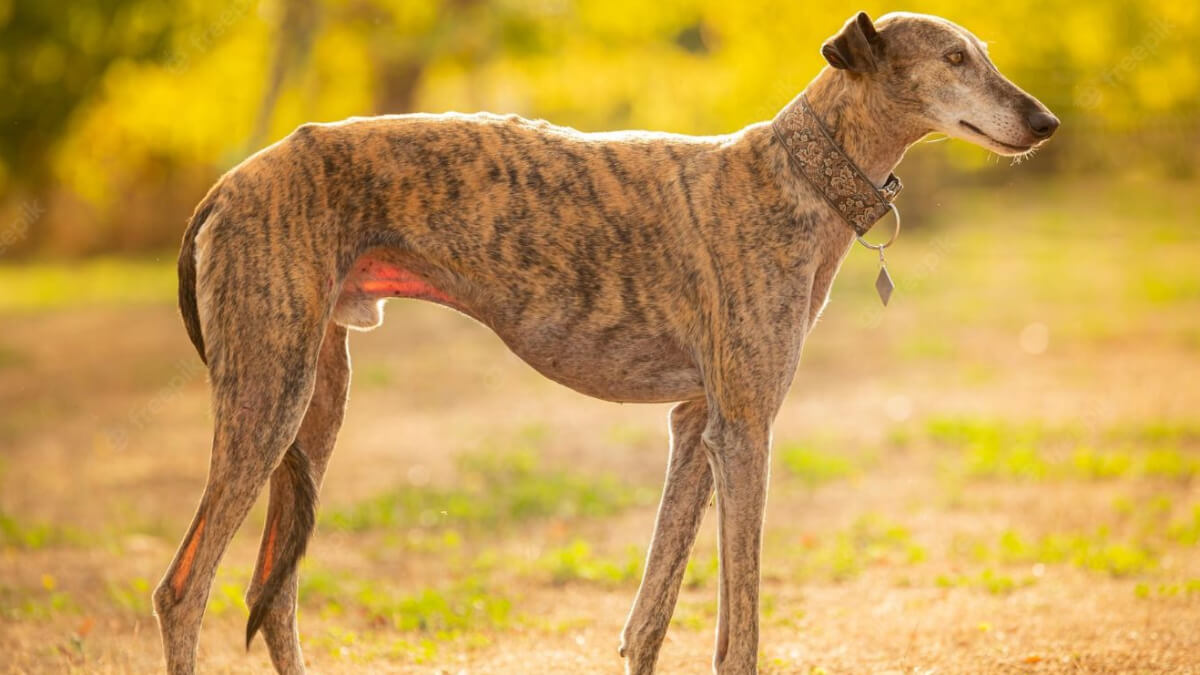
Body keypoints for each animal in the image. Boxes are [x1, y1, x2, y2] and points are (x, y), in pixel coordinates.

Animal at [152, 10, 1060, 672]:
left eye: (982, 52)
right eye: (953, 58)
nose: (1047, 122)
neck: (797, 172)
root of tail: (227, 184)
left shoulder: (695, 425)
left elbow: (649, 616)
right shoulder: (745, 429)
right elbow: (738, 629)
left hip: (314, 402)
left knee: (273, 595)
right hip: (267, 401)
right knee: (183, 589)